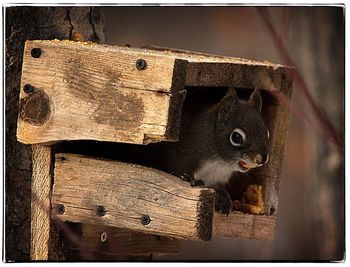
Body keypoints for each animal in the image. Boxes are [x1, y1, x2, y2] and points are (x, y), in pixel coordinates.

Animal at [149, 88, 270, 216]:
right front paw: (190, 179)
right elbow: (178, 170)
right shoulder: (182, 156)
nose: (262, 159)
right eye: (236, 137)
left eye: (267, 132)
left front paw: (224, 197)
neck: (219, 163)